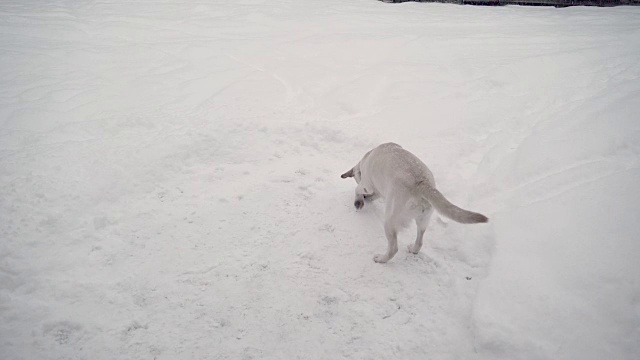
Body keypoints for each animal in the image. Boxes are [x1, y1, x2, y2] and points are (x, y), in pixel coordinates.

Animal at [342, 143, 488, 264]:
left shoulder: (367, 185)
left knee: (393, 248)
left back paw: (380, 259)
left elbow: (358, 189)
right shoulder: (378, 191)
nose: (365, 198)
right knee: (420, 241)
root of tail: (422, 184)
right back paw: (413, 249)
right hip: (423, 220)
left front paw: (359, 201)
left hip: (389, 222)